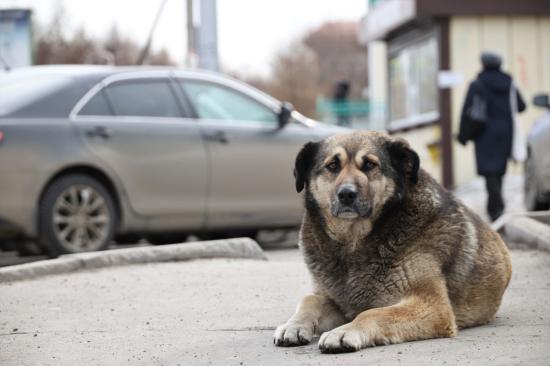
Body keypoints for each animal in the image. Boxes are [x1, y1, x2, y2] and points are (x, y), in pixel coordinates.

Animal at [274, 131, 512, 352]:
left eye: (369, 165)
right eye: (332, 166)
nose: (346, 194)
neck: (354, 241)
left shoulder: (432, 307)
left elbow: (371, 313)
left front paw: (344, 332)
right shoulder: (337, 301)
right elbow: (310, 299)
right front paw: (293, 325)